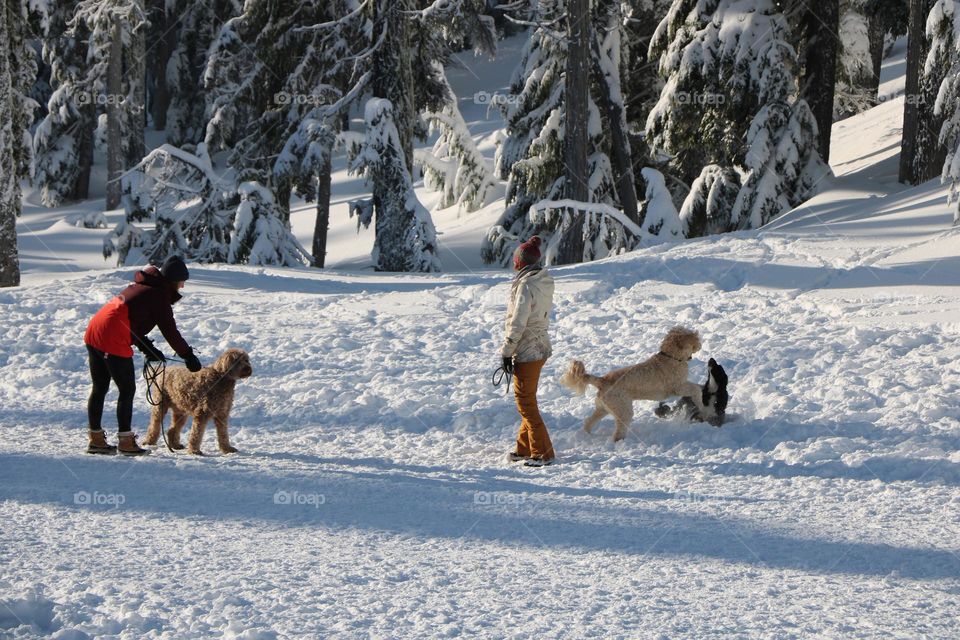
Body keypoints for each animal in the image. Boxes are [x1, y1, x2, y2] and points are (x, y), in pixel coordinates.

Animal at [564, 330, 704, 440]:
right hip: (623, 410)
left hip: (603, 409)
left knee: (588, 421)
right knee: (618, 433)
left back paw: (587, 434)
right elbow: (696, 389)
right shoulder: (678, 387)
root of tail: (602, 380)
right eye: (694, 336)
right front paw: (701, 402)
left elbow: (696, 387)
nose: (700, 344)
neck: (671, 357)